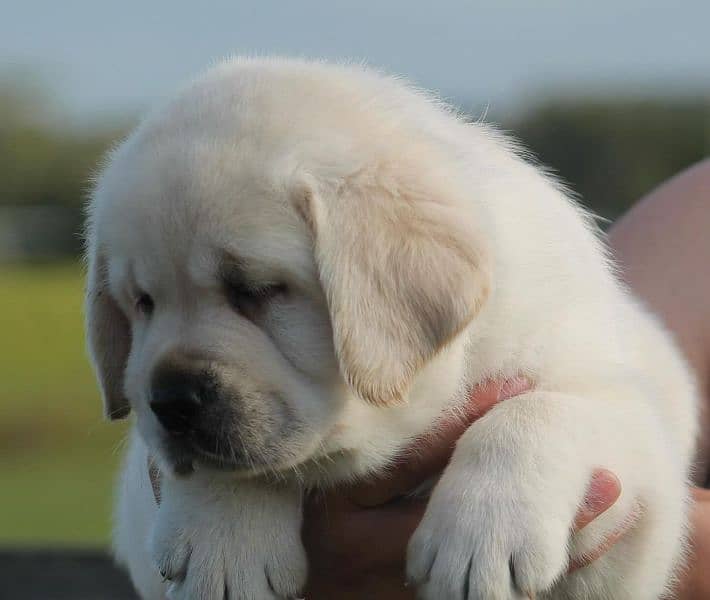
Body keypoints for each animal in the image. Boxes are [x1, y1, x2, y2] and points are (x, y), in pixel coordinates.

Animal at [85, 57, 700, 600]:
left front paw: (480, 537)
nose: (171, 402)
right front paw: (222, 544)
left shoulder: (625, 506)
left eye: (255, 290)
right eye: (142, 303)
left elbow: (538, 409)